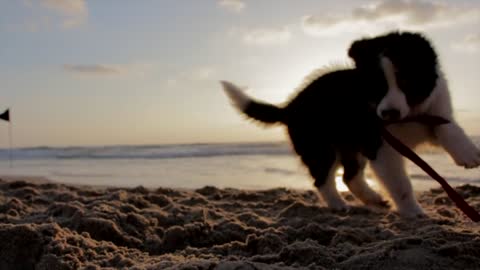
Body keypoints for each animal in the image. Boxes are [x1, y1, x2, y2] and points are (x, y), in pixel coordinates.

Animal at [222, 31, 480, 217]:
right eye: (375, 86)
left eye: (406, 81)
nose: (388, 113)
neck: (409, 115)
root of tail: (290, 107)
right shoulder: (381, 146)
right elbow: (400, 183)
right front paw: (414, 213)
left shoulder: (434, 109)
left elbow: (447, 125)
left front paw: (468, 153)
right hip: (321, 148)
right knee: (323, 179)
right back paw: (338, 204)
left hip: (352, 147)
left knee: (349, 176)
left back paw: (373, 199)